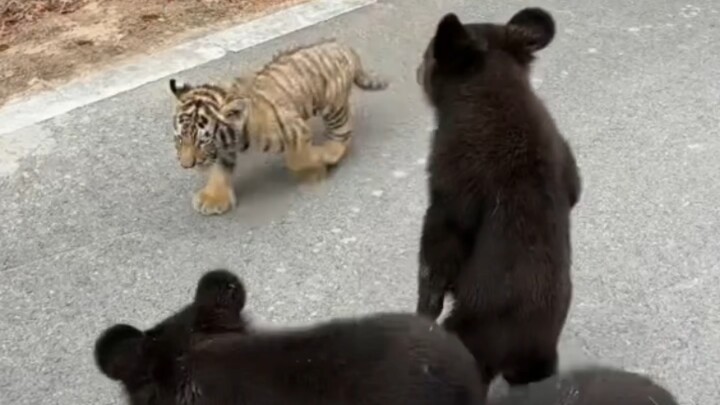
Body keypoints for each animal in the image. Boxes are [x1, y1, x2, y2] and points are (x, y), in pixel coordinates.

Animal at [168, 38, 389, 216]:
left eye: (203, 141)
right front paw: (213, 199)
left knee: (342, 132)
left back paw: (329, 153)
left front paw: (315, 168)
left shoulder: (295, 130)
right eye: (179, 138)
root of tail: (342, 46)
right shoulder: (224, 149)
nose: (186, 165)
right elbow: (219, 171)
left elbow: (297, 160)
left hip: (333, 107)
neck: (236, 136)